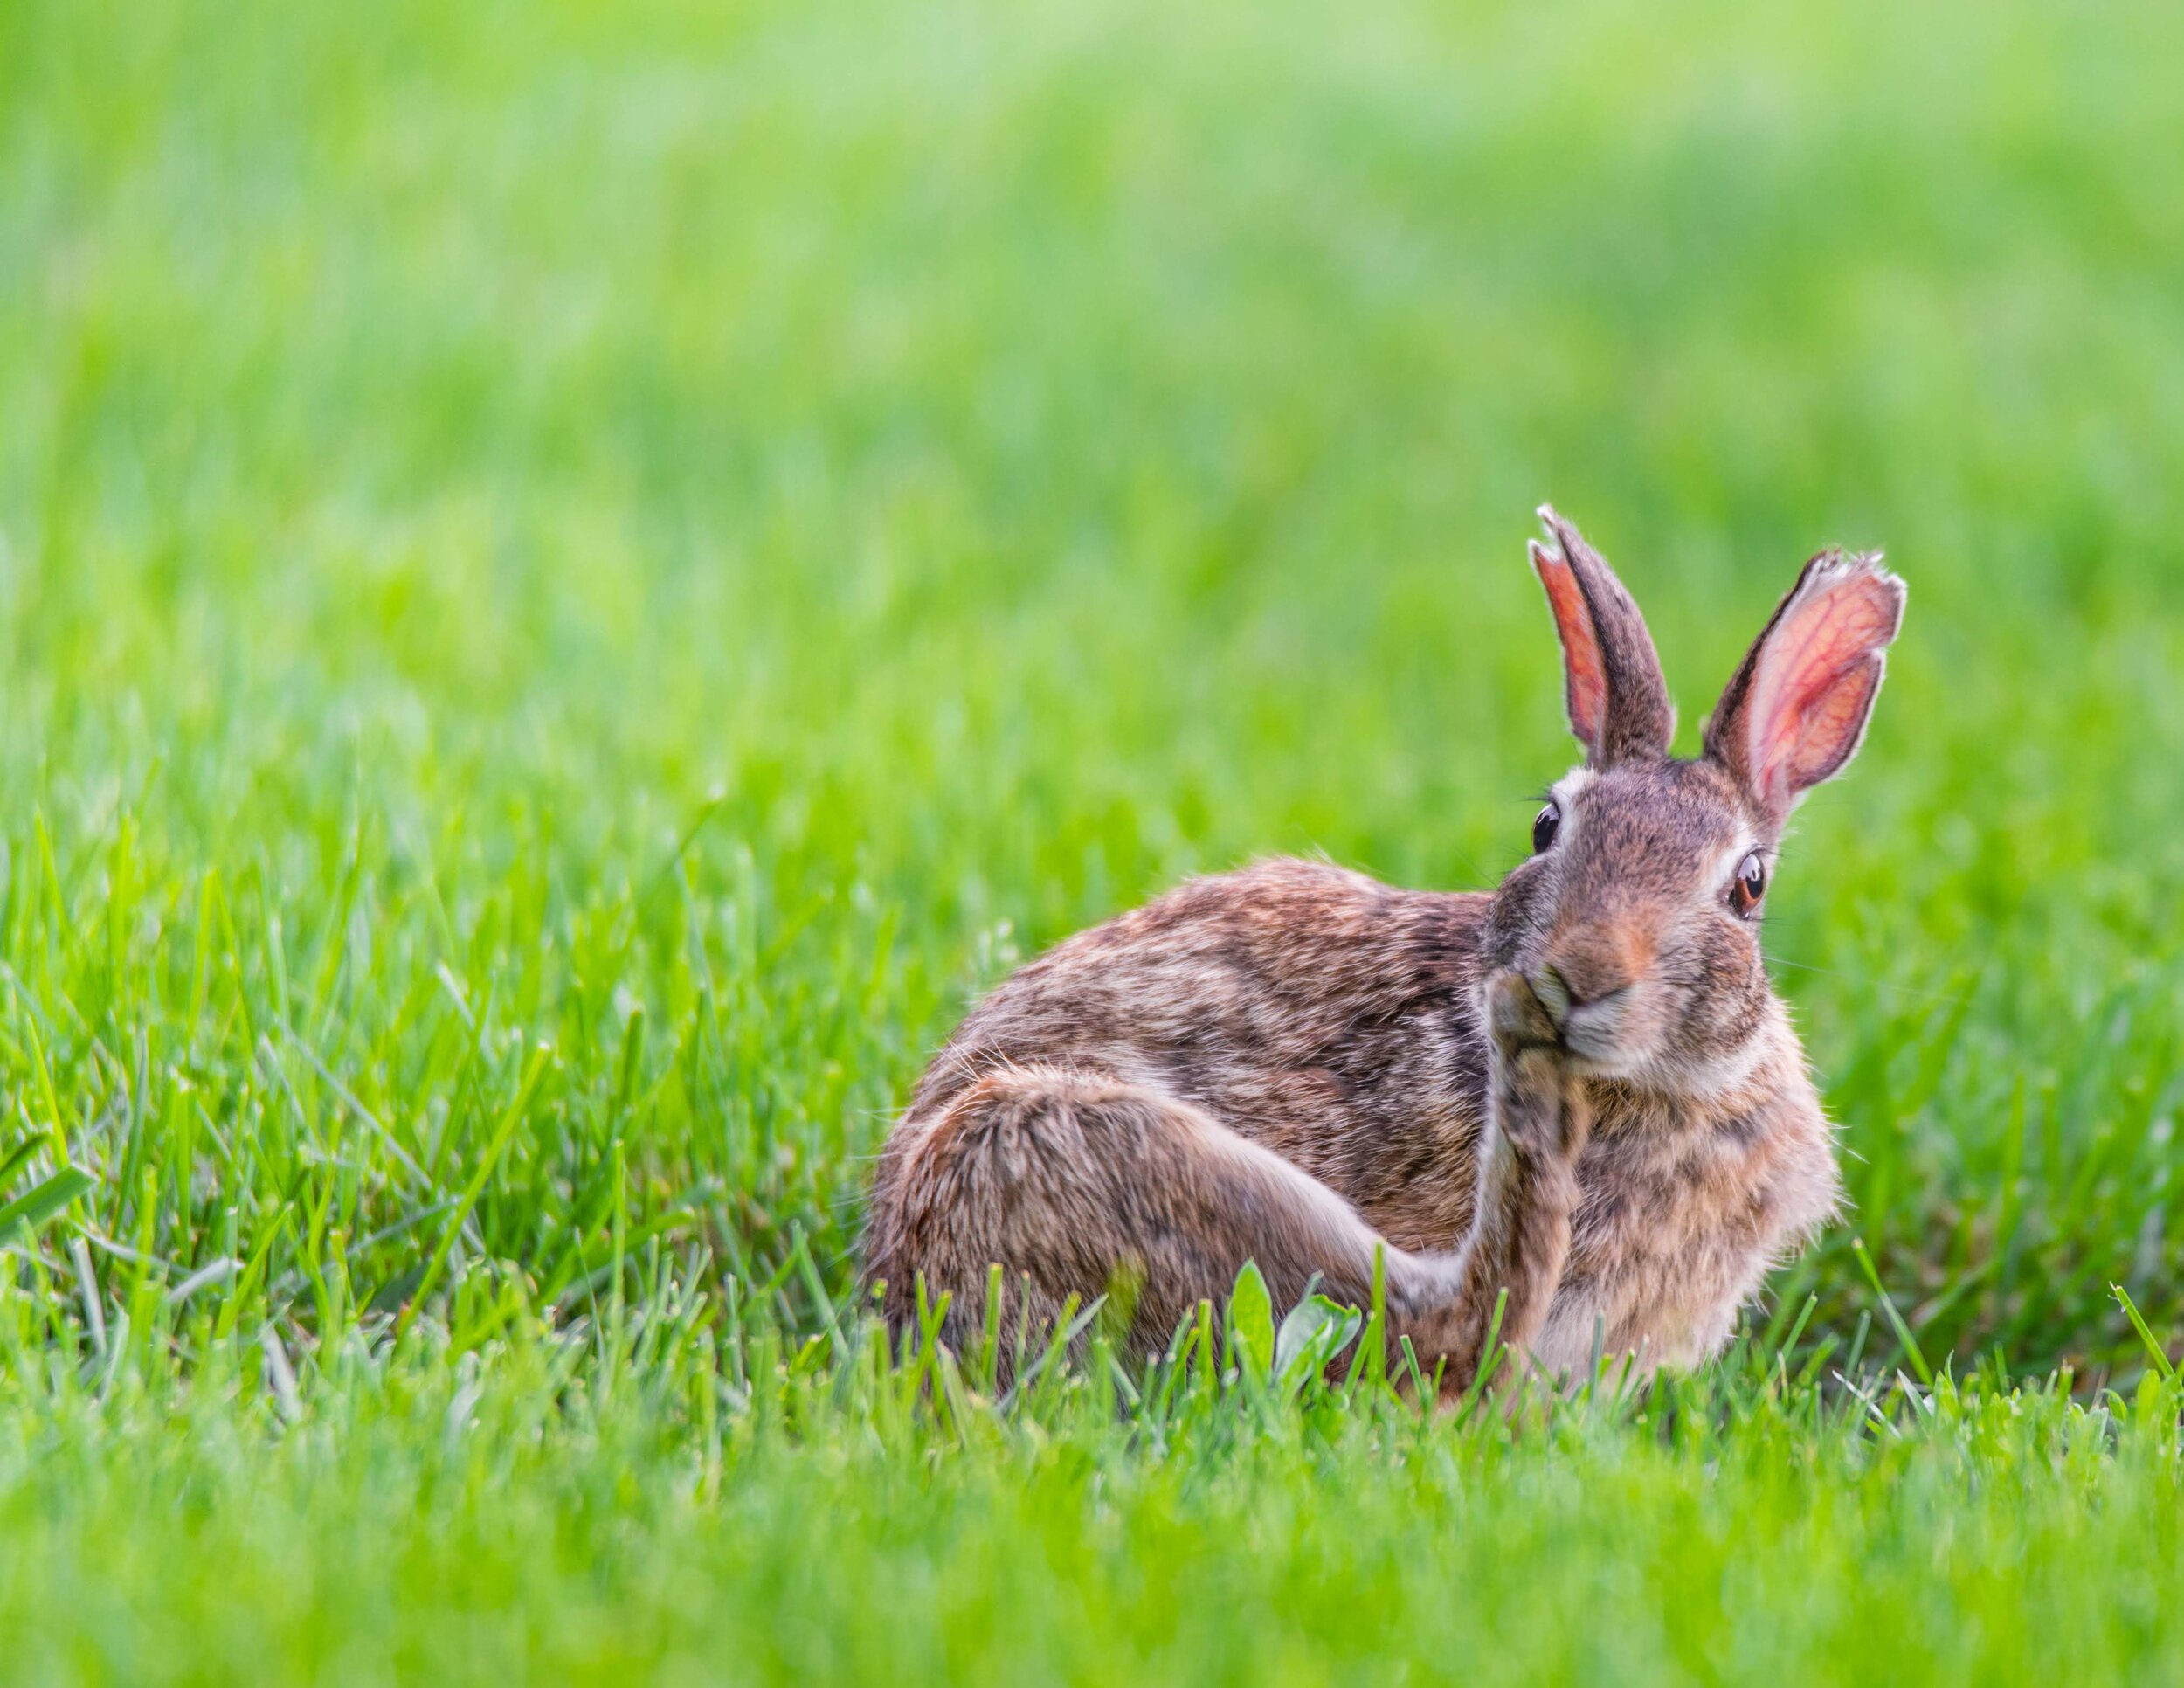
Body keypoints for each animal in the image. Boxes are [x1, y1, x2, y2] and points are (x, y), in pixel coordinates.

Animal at [860, 506, 1904, 1388]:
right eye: (1545, 826)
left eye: (1748, 885)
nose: (1578, 977)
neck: (1661, 1087)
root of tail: (894, 1276)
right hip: (1078, 1147)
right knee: (1446, 1322)